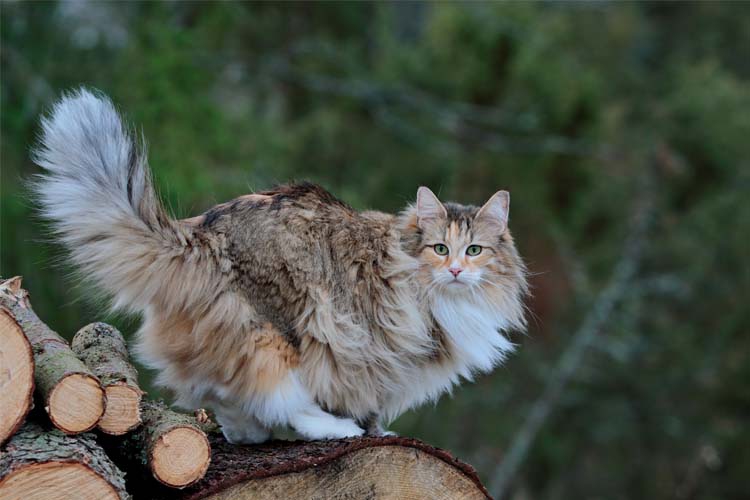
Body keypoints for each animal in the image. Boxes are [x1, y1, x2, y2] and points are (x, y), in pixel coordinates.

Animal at [33, 89, 528, 442]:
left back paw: (246, 433)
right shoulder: (385, 351)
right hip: (282, 326)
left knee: (222, 390)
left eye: (475, 250)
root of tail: (202, 232)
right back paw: (329, 429)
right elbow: (371, 400)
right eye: (440, 249)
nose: (457, 270)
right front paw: (372, 429)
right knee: (276, 394)